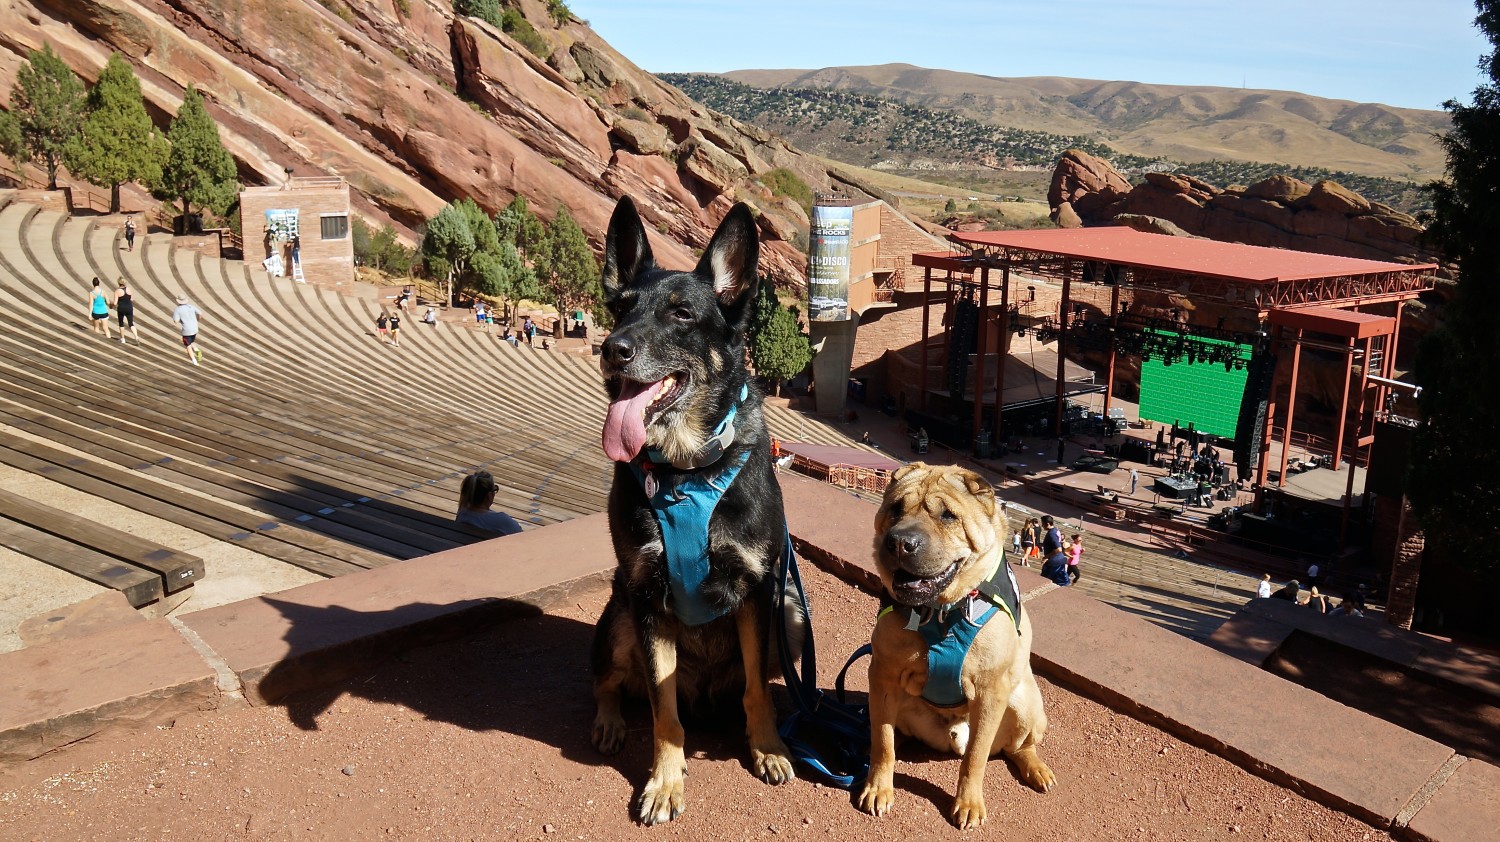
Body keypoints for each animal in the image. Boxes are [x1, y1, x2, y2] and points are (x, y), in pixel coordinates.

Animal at [588, 195, 804, 822]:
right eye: (620, 308)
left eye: (682, 314)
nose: (613, 350)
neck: (687, 472)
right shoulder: (645, 595)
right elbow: (664, 710)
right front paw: (665, 781)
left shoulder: (758, 590)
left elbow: (758, 689)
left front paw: (768, 748)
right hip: (618, 615)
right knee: (610, 683)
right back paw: (609, 722)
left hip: (790, 615)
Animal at [858, 462, 1056, 828]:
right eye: (895, 509)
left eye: (948, 515)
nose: (899, 543)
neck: (942, 611)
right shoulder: (883, 676)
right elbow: (883, 741)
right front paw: (879, 787)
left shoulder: (991, 692)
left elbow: (975, 757)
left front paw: (969, 804)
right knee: (890, 730)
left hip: (1024, 703)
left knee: (1017, 747)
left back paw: (1036, 770)